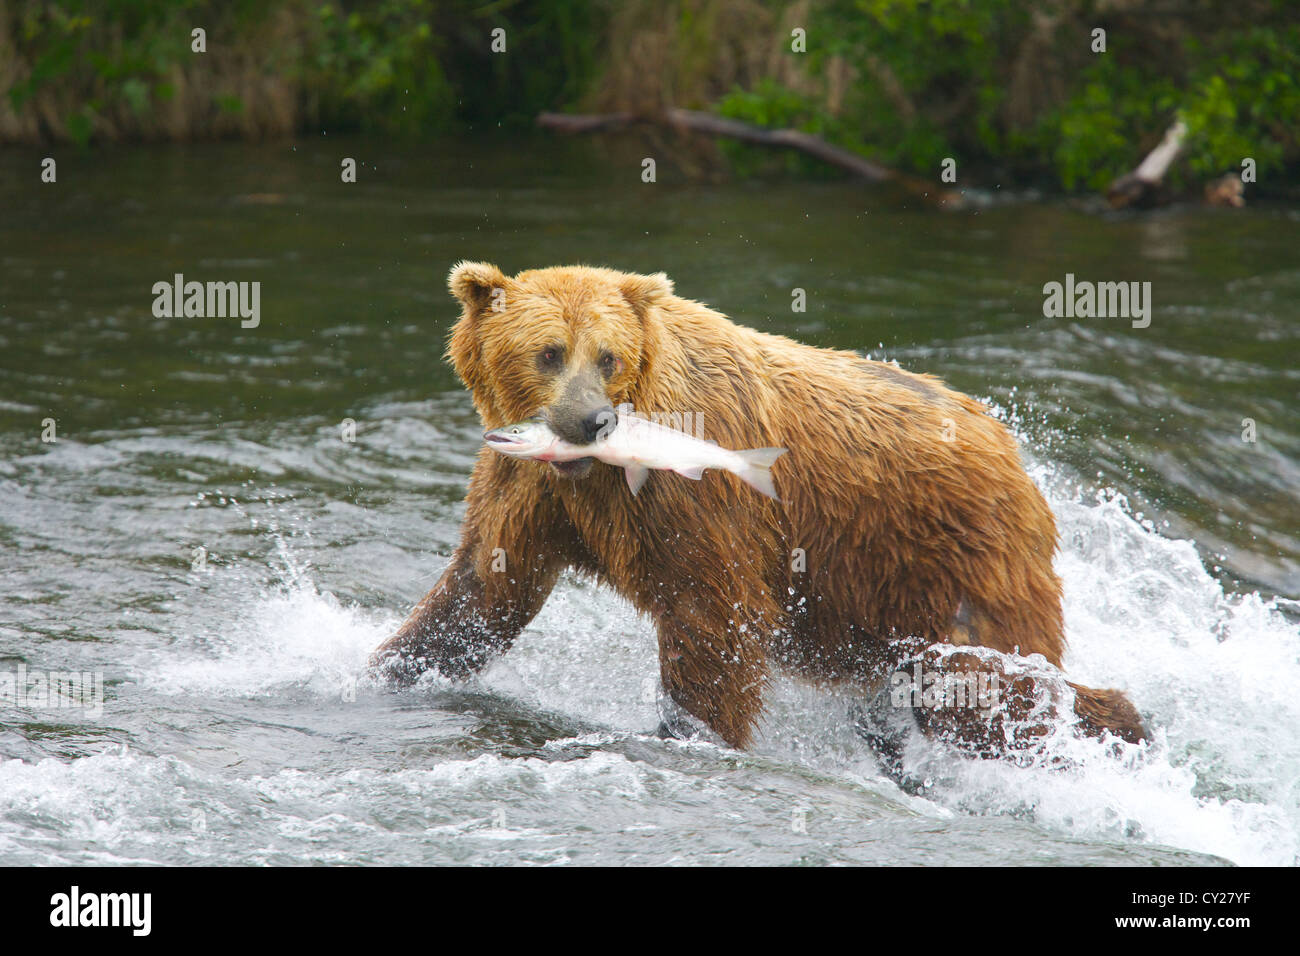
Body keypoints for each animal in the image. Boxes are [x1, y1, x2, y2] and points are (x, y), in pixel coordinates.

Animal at [371, 264, 1144, 754]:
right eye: (549, 352)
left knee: (980, 684)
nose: (593, 421)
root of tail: (1012, 448)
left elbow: (713, 619)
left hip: (949, 554)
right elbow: (482, 593)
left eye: (609, 355)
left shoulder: (696, 503)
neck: (600, 474)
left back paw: (1117, 725)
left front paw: (694, 732)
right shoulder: (532, 493)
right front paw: (384, 668)